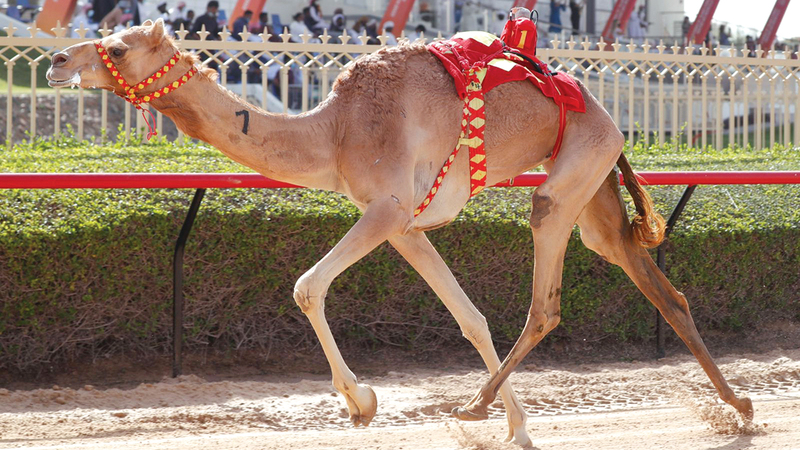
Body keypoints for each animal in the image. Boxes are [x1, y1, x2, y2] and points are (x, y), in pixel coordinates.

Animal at [47, 18, 752, 446]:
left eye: (116, 47)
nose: (55, 60)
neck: (332, 132)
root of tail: (606, 111)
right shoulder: (406, 225)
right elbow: (469, 316)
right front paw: (518, 425)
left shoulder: (386, 208)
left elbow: (306, 286)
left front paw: (361, 402)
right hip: (595, 187)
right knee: (657, 285)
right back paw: (739, 409)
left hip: (572, 175)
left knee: (547, 297)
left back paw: (470, 408)